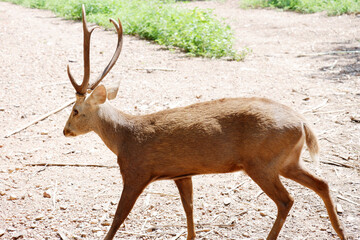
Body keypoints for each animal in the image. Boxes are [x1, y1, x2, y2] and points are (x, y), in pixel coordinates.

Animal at [62, 5, 346, 240]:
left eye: (75, 110)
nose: (65, 130)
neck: (125, 137)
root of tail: (303, 123)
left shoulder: (136, 171)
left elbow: (119, 218)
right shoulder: (181, 173)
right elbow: (189, 209)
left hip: (261, 162)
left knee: (286, 200)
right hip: (287, 160)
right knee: (322, 183)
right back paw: (340, 231)